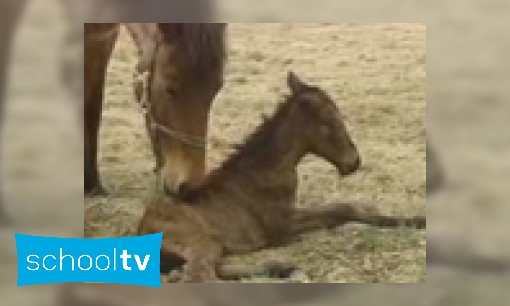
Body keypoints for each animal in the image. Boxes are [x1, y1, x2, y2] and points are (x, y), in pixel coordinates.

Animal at [84, 23, 226, 196]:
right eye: (169, 89)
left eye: (217, 89)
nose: (191, 186)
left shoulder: (102, 44)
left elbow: (93, 114)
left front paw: (93, 185)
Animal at [136, 71, 426, 282]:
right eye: (330, 121)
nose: (353, 162)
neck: (266, 169)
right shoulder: (282, 223)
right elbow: (341, 211)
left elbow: (347, 207)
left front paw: (413, 220)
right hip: (201, 243)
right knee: (201, 276)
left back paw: (284, 269)